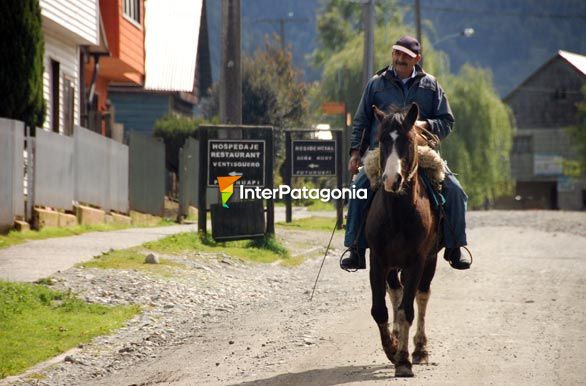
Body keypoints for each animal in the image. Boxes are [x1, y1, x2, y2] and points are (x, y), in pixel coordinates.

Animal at [362, 102, 440, 376]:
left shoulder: (417, 261)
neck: (397, 214)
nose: (391, 180)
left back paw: (419, 349)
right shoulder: (378, 260)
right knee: (395, 292)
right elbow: (380, 310)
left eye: (408, 140)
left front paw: (404, 360)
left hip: (430, 262)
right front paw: (392, 348)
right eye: (382, 140)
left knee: (421, 296)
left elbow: (408, 310)